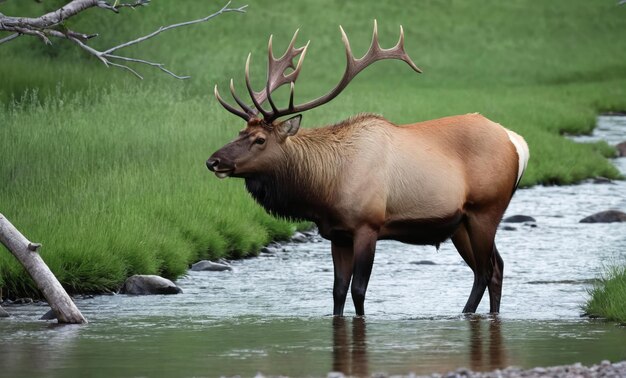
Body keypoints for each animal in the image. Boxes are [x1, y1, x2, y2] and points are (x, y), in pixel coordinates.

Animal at [208, 21, 528, 316]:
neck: (323, 191)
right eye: (239, 132)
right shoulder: (337, 233)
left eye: (260, 139)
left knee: (486, 271)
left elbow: (358, 290)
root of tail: (517, 141)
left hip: (486, 209)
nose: (213, 161)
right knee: (494, 267)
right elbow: (338, 291)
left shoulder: (367, 225)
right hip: (460, 223)